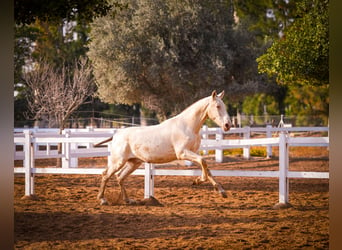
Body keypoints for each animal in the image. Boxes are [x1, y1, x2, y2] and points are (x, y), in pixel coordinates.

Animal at [95, 90, 231, 205]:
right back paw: (103, 200)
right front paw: (198, 180)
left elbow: (206, 167)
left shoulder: (193, 153)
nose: (227, 125)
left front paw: (221, 191)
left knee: (120, 177)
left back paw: (128, 200)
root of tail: (116, 135)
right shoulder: (183, 153)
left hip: (133, 163)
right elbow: (204, 162)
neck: (187, 126)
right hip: (118, 162)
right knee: (106, 175)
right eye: (217, 106)